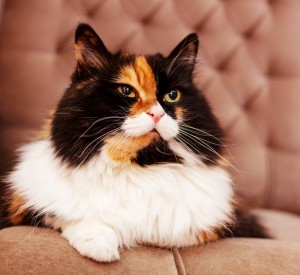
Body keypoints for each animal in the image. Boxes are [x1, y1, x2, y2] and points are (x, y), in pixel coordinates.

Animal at [0, 23, 268, 264]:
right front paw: (101, 246)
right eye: (126, 91)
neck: (141, 165)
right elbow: (67, 217)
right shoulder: (21, 206)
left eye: (172, 95)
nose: (156, 114)